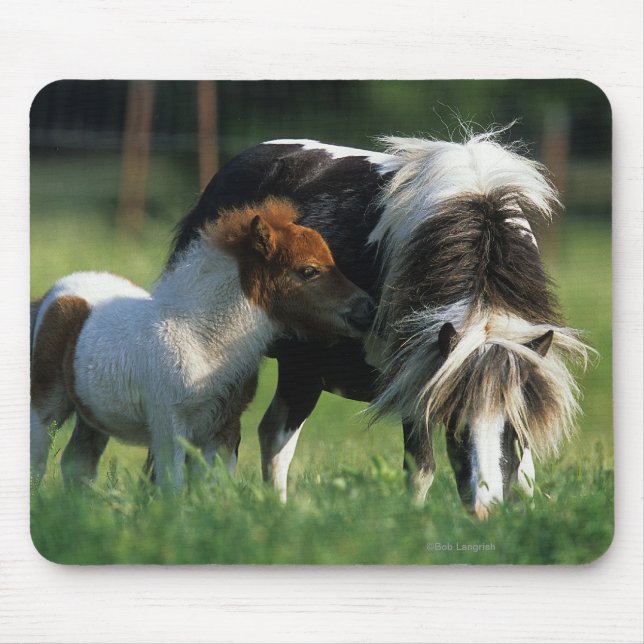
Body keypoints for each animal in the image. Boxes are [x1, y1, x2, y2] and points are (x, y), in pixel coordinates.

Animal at [30, 197, 375, 489]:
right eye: (309, 270)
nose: (367, 309)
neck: (201, 340)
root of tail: (54, 293)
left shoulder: (223, 430)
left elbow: (213, 489)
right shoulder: (170, 430)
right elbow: (172, 487)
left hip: (93, 413)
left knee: (78, 463)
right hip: (46, 403)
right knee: (38, 459)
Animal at [168, 132, 591, 517]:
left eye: (512, 429)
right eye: (455, 423)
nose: (484, 511)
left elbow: (525, 474)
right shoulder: (417, 378)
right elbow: (420, 469)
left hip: (302, 370)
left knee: (271, 437)